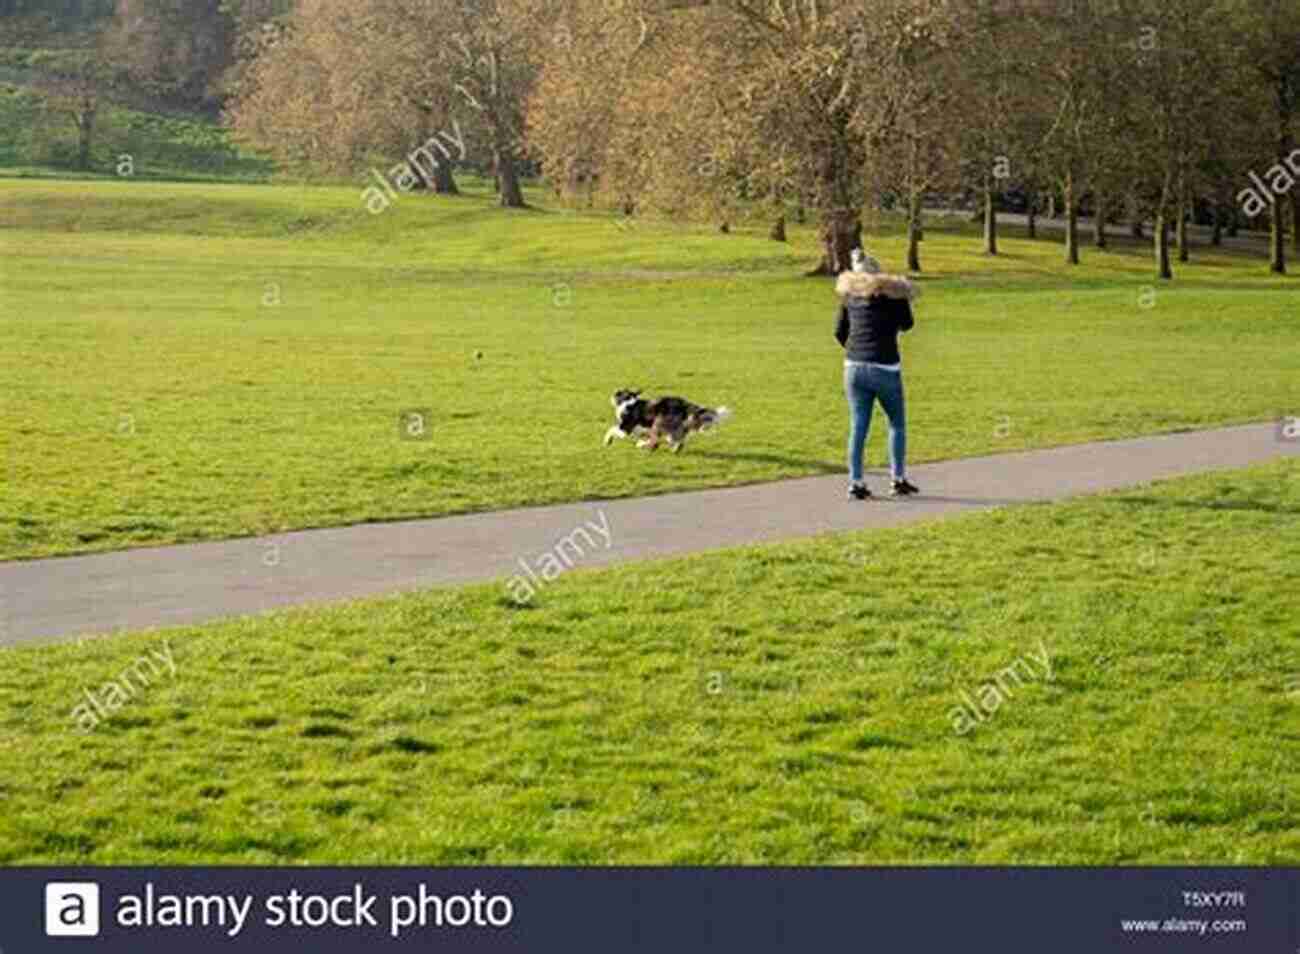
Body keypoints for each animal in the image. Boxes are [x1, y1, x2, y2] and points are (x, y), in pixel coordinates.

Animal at [600, 389, 728, 454]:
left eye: (619, 392)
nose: (612, 395)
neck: (628, 401)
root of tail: (684, 404)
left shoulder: (625, 428)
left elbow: (611, 429)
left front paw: (607, 441)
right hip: (675, 427)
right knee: (678, 441)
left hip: (659, 422)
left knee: (657, 442)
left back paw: (645, 447)